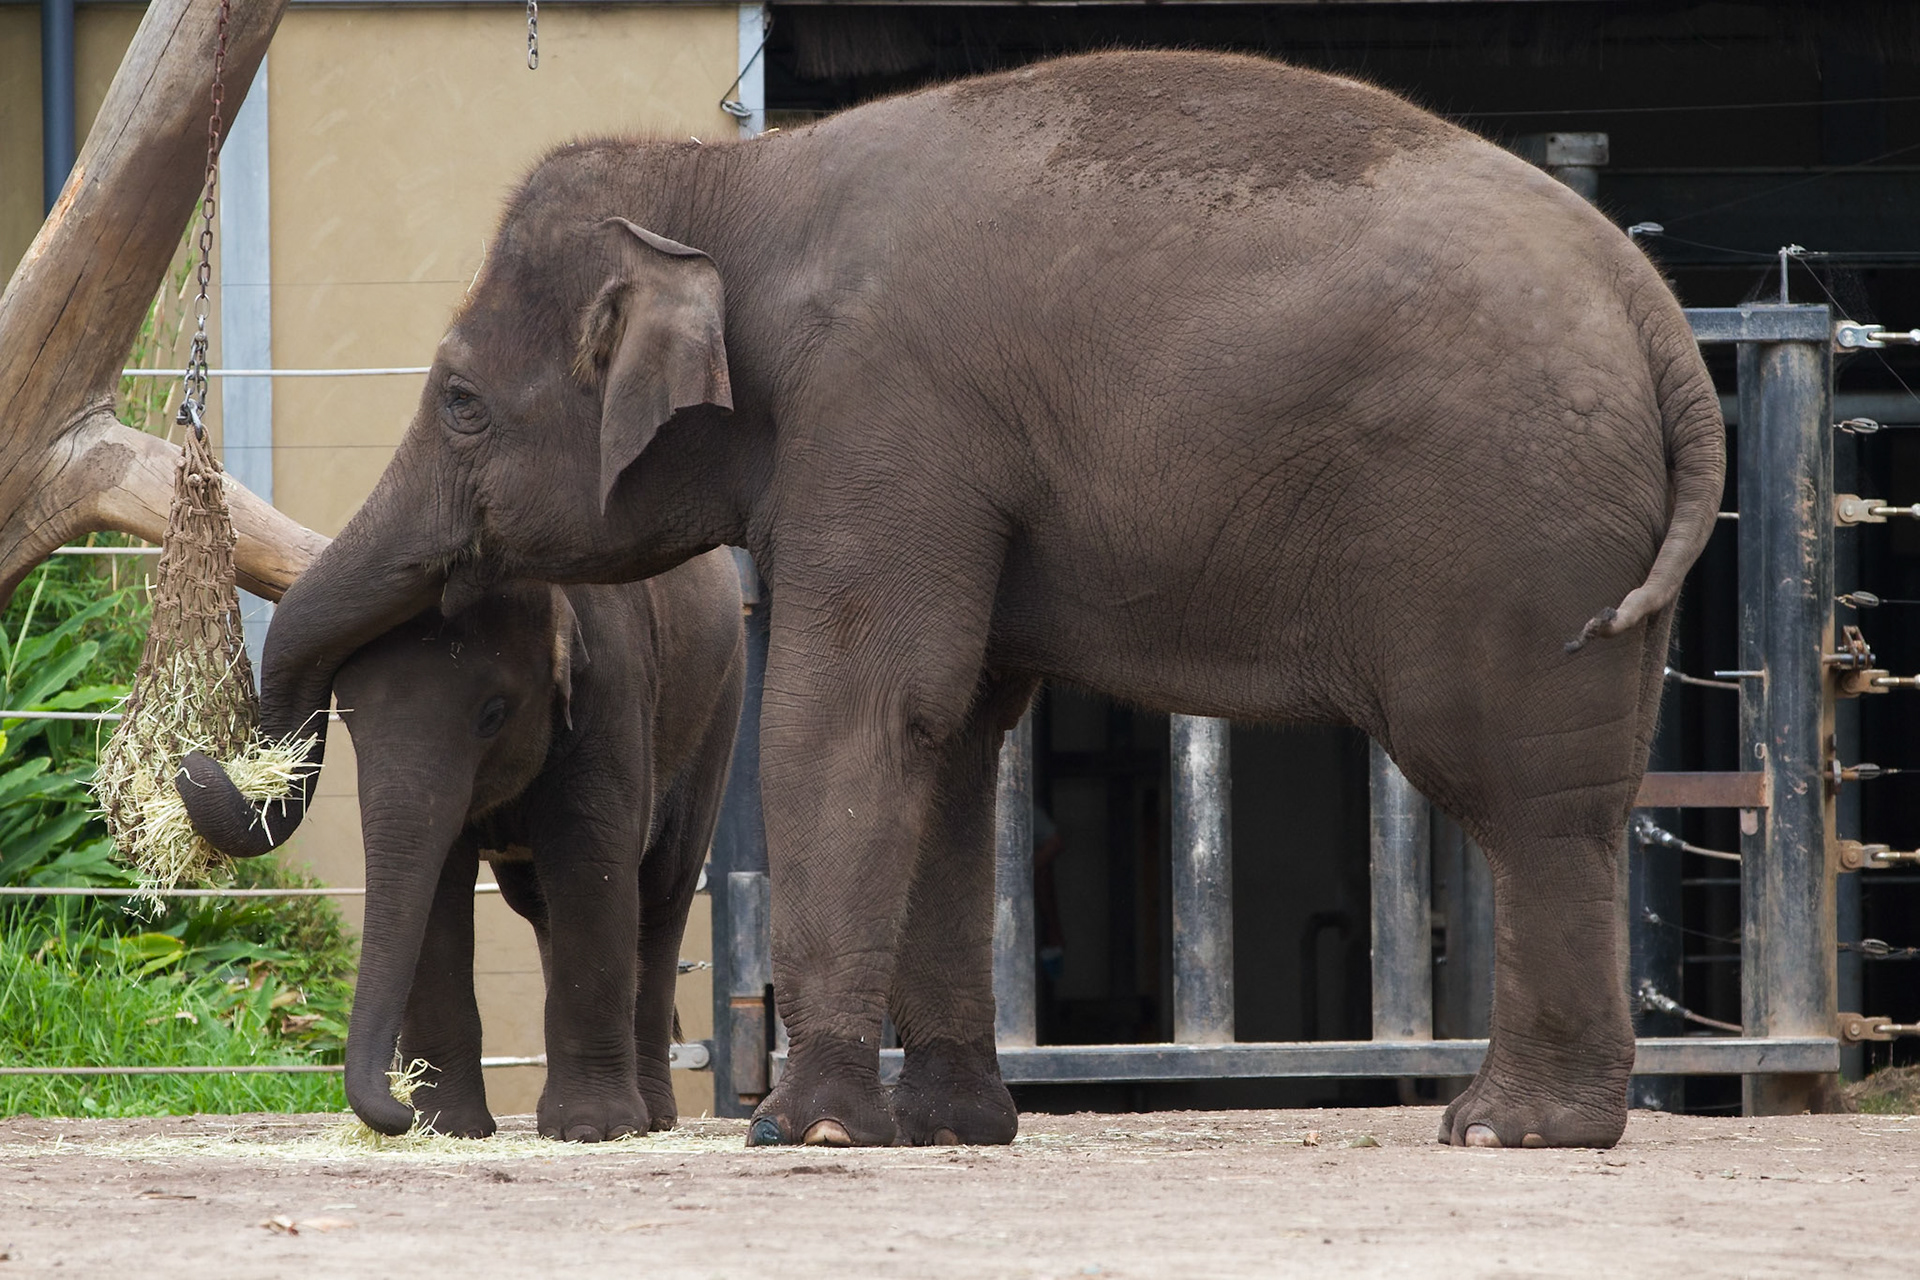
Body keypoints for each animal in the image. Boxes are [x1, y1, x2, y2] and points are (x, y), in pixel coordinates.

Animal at [182, 558, 744, 1139]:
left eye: (492, 714)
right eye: (350, 720)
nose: (193, 762)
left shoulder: (612, 683)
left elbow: (589, 860)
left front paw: (593, 1130)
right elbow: (440, 882)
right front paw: (445, 1127)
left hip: (717, 713)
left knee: (663, 893)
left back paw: (651, 1118)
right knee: (540, 906)